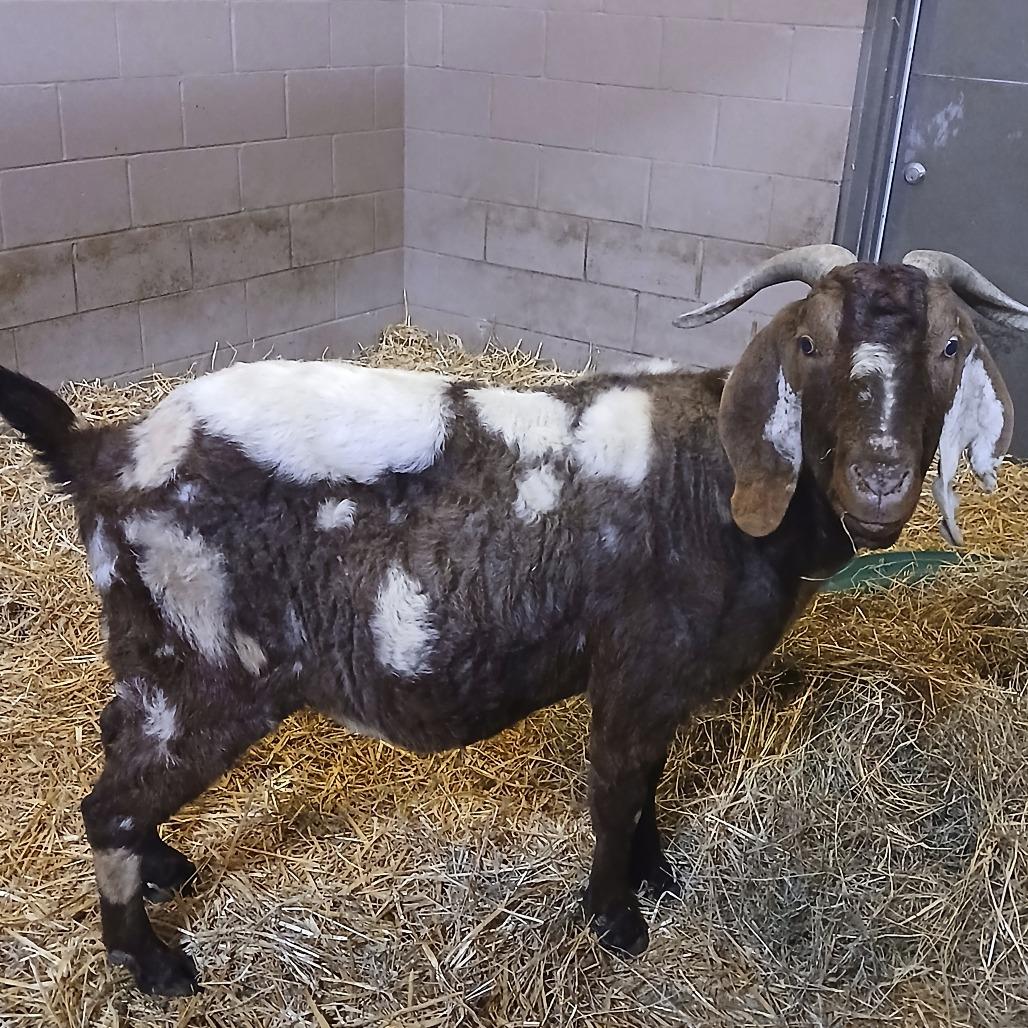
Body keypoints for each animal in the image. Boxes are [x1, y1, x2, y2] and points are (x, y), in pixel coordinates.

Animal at [0, 246, 1024, 996]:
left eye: (949, 348)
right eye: (808, 344)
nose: (881, 480)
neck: (717, 483)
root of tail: (107, 451)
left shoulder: (659, 684)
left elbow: (651, 781)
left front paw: (656, 876)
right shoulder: (635, 667)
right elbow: (618, 785)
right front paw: (615, 919)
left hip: (152, 652)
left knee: (117, 748)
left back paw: (164, 866)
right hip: (206, 665)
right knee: (109, 803)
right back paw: (152, 963)